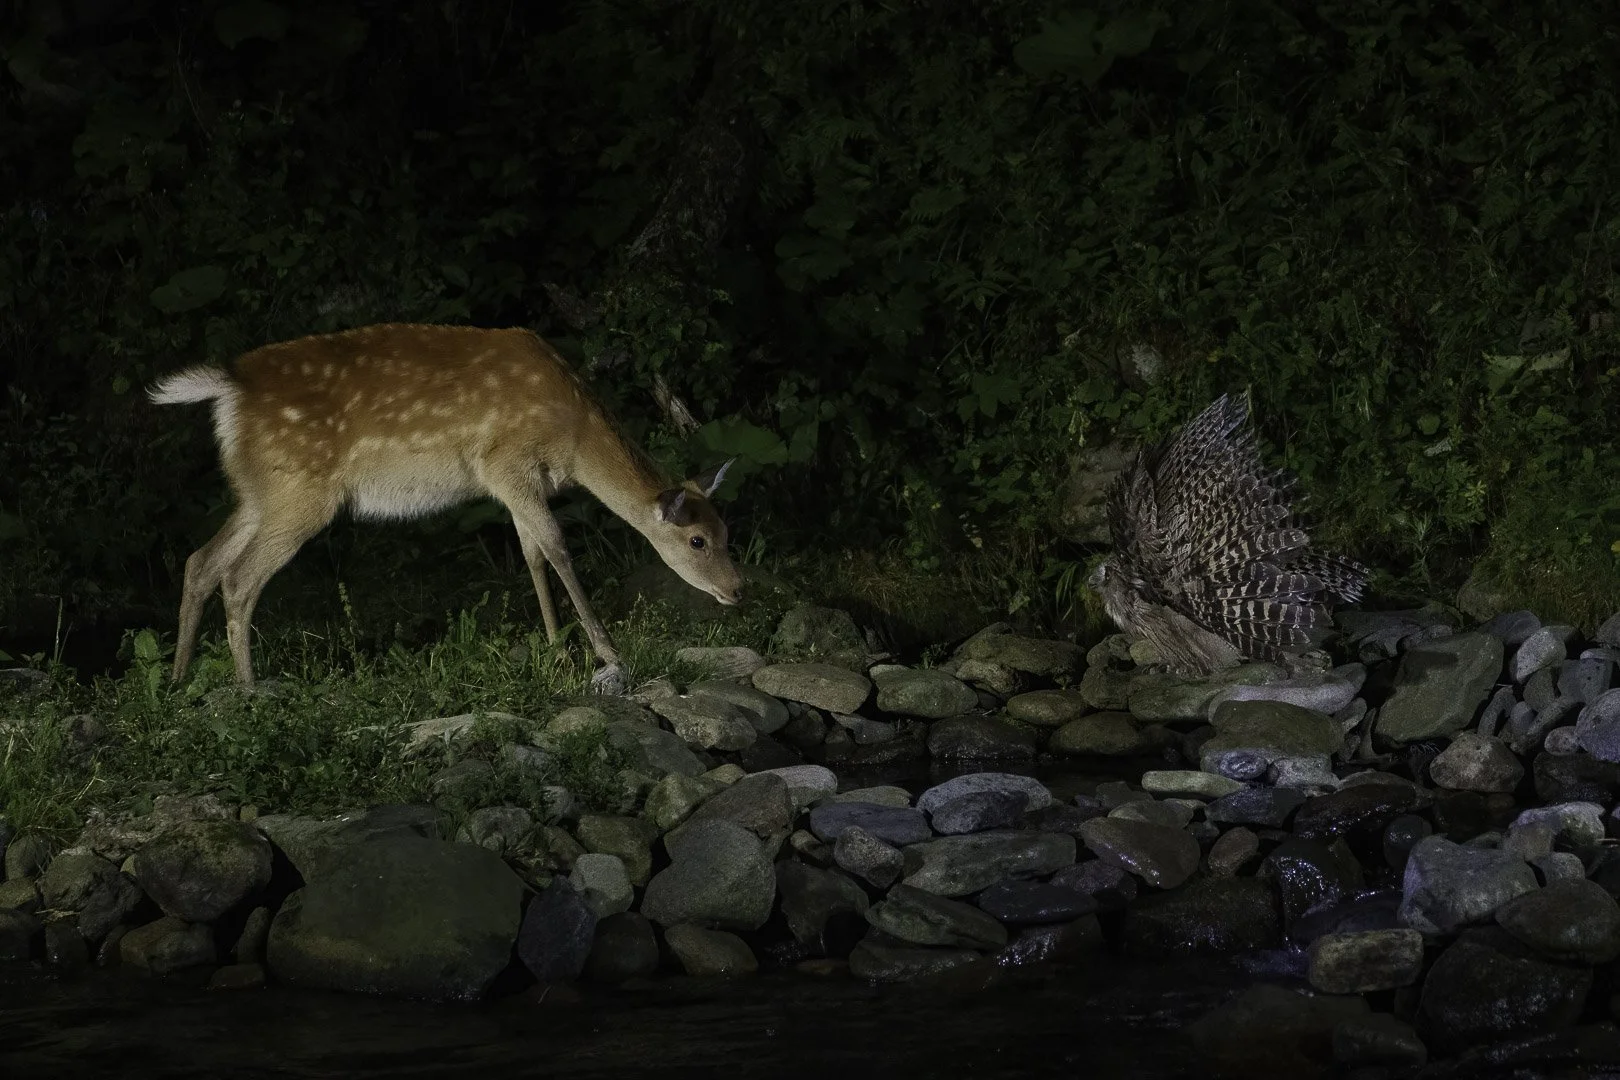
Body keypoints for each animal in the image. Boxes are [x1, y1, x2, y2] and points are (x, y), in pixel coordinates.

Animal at [147, 322, 744, 694]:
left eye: (727, 531)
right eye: (697, 541)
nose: (738, 590)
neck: (574, 437)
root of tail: (230, 389)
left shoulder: (516, 483)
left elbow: (532, 553)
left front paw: (556, 648)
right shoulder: (504, 463)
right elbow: (557, 546)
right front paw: (608, 654)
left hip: (259, 493)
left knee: (201, 561)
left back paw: (178, 681)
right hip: (300, 492)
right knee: (239, 576)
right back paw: (248, 688)